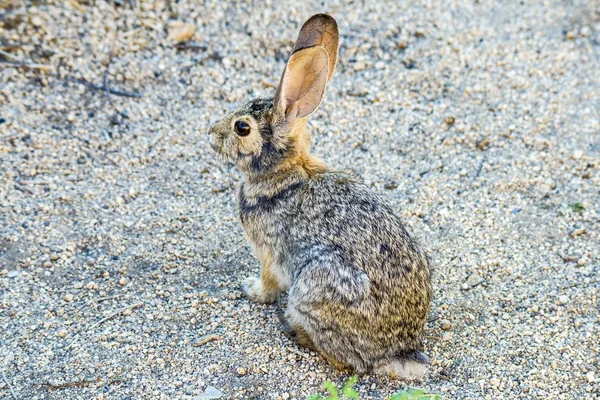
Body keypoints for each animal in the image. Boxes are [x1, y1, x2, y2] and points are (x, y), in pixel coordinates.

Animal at [209, 13, 434, 382]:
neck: (284, 175)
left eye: (242, 128)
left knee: (345, 361)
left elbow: (269, 282)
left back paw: (293, 329)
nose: (211, 135)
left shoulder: (269, 252)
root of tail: (398, 351)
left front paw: (252, 289)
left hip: (316, 284)